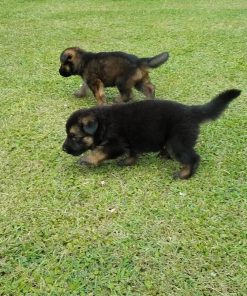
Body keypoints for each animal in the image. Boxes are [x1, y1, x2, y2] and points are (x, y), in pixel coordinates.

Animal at [62, 89, 241, 179]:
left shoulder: (116, 144)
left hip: (177, 142)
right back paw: (164, 155)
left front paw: (88, 160)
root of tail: (191, 111)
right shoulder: (129, 142)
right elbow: (131, 153)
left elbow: (100, 151)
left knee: (193, 158)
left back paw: (184, 174)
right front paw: (128, 162)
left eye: (74, 136)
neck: (103, 123)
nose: (63, 149)